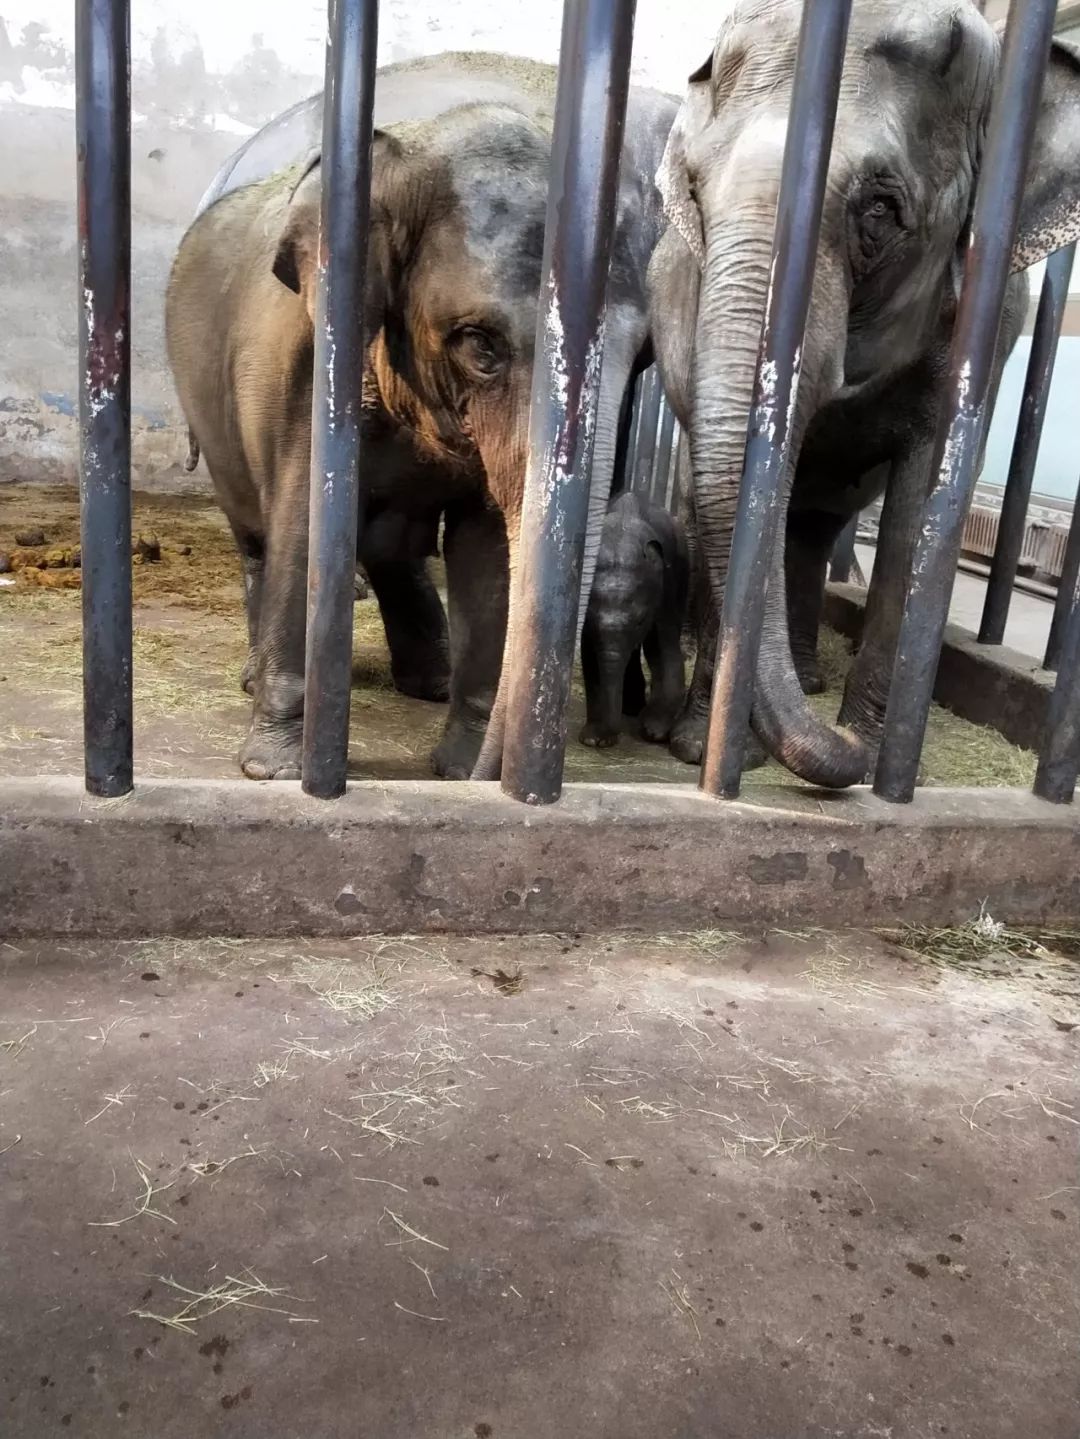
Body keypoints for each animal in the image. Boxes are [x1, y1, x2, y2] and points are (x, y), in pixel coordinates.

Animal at [166, 56, 675, 782]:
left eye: (644, 358)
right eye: (479, 344)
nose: (495, 768)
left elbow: (487, 549)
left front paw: (461, 774)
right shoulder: (308, 367)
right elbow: (307, 524)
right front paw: (274, 771)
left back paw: (427, 683)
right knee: (258, 534)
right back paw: (254, 680)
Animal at [583, 486, 693, 748]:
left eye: (641, 620)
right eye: (590, 619)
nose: (609, 738)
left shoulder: (667, 586)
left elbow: (662, 645)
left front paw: (654, 732)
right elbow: (589, 655)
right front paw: (593, 739)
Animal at [650, 2, 1080, 788]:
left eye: (880, 210)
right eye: (693, 194)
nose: (839, 741)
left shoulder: (989, 322)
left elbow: (921, 507)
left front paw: (873, 757)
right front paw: (704, 750)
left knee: (813, 529)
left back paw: (813, 683)